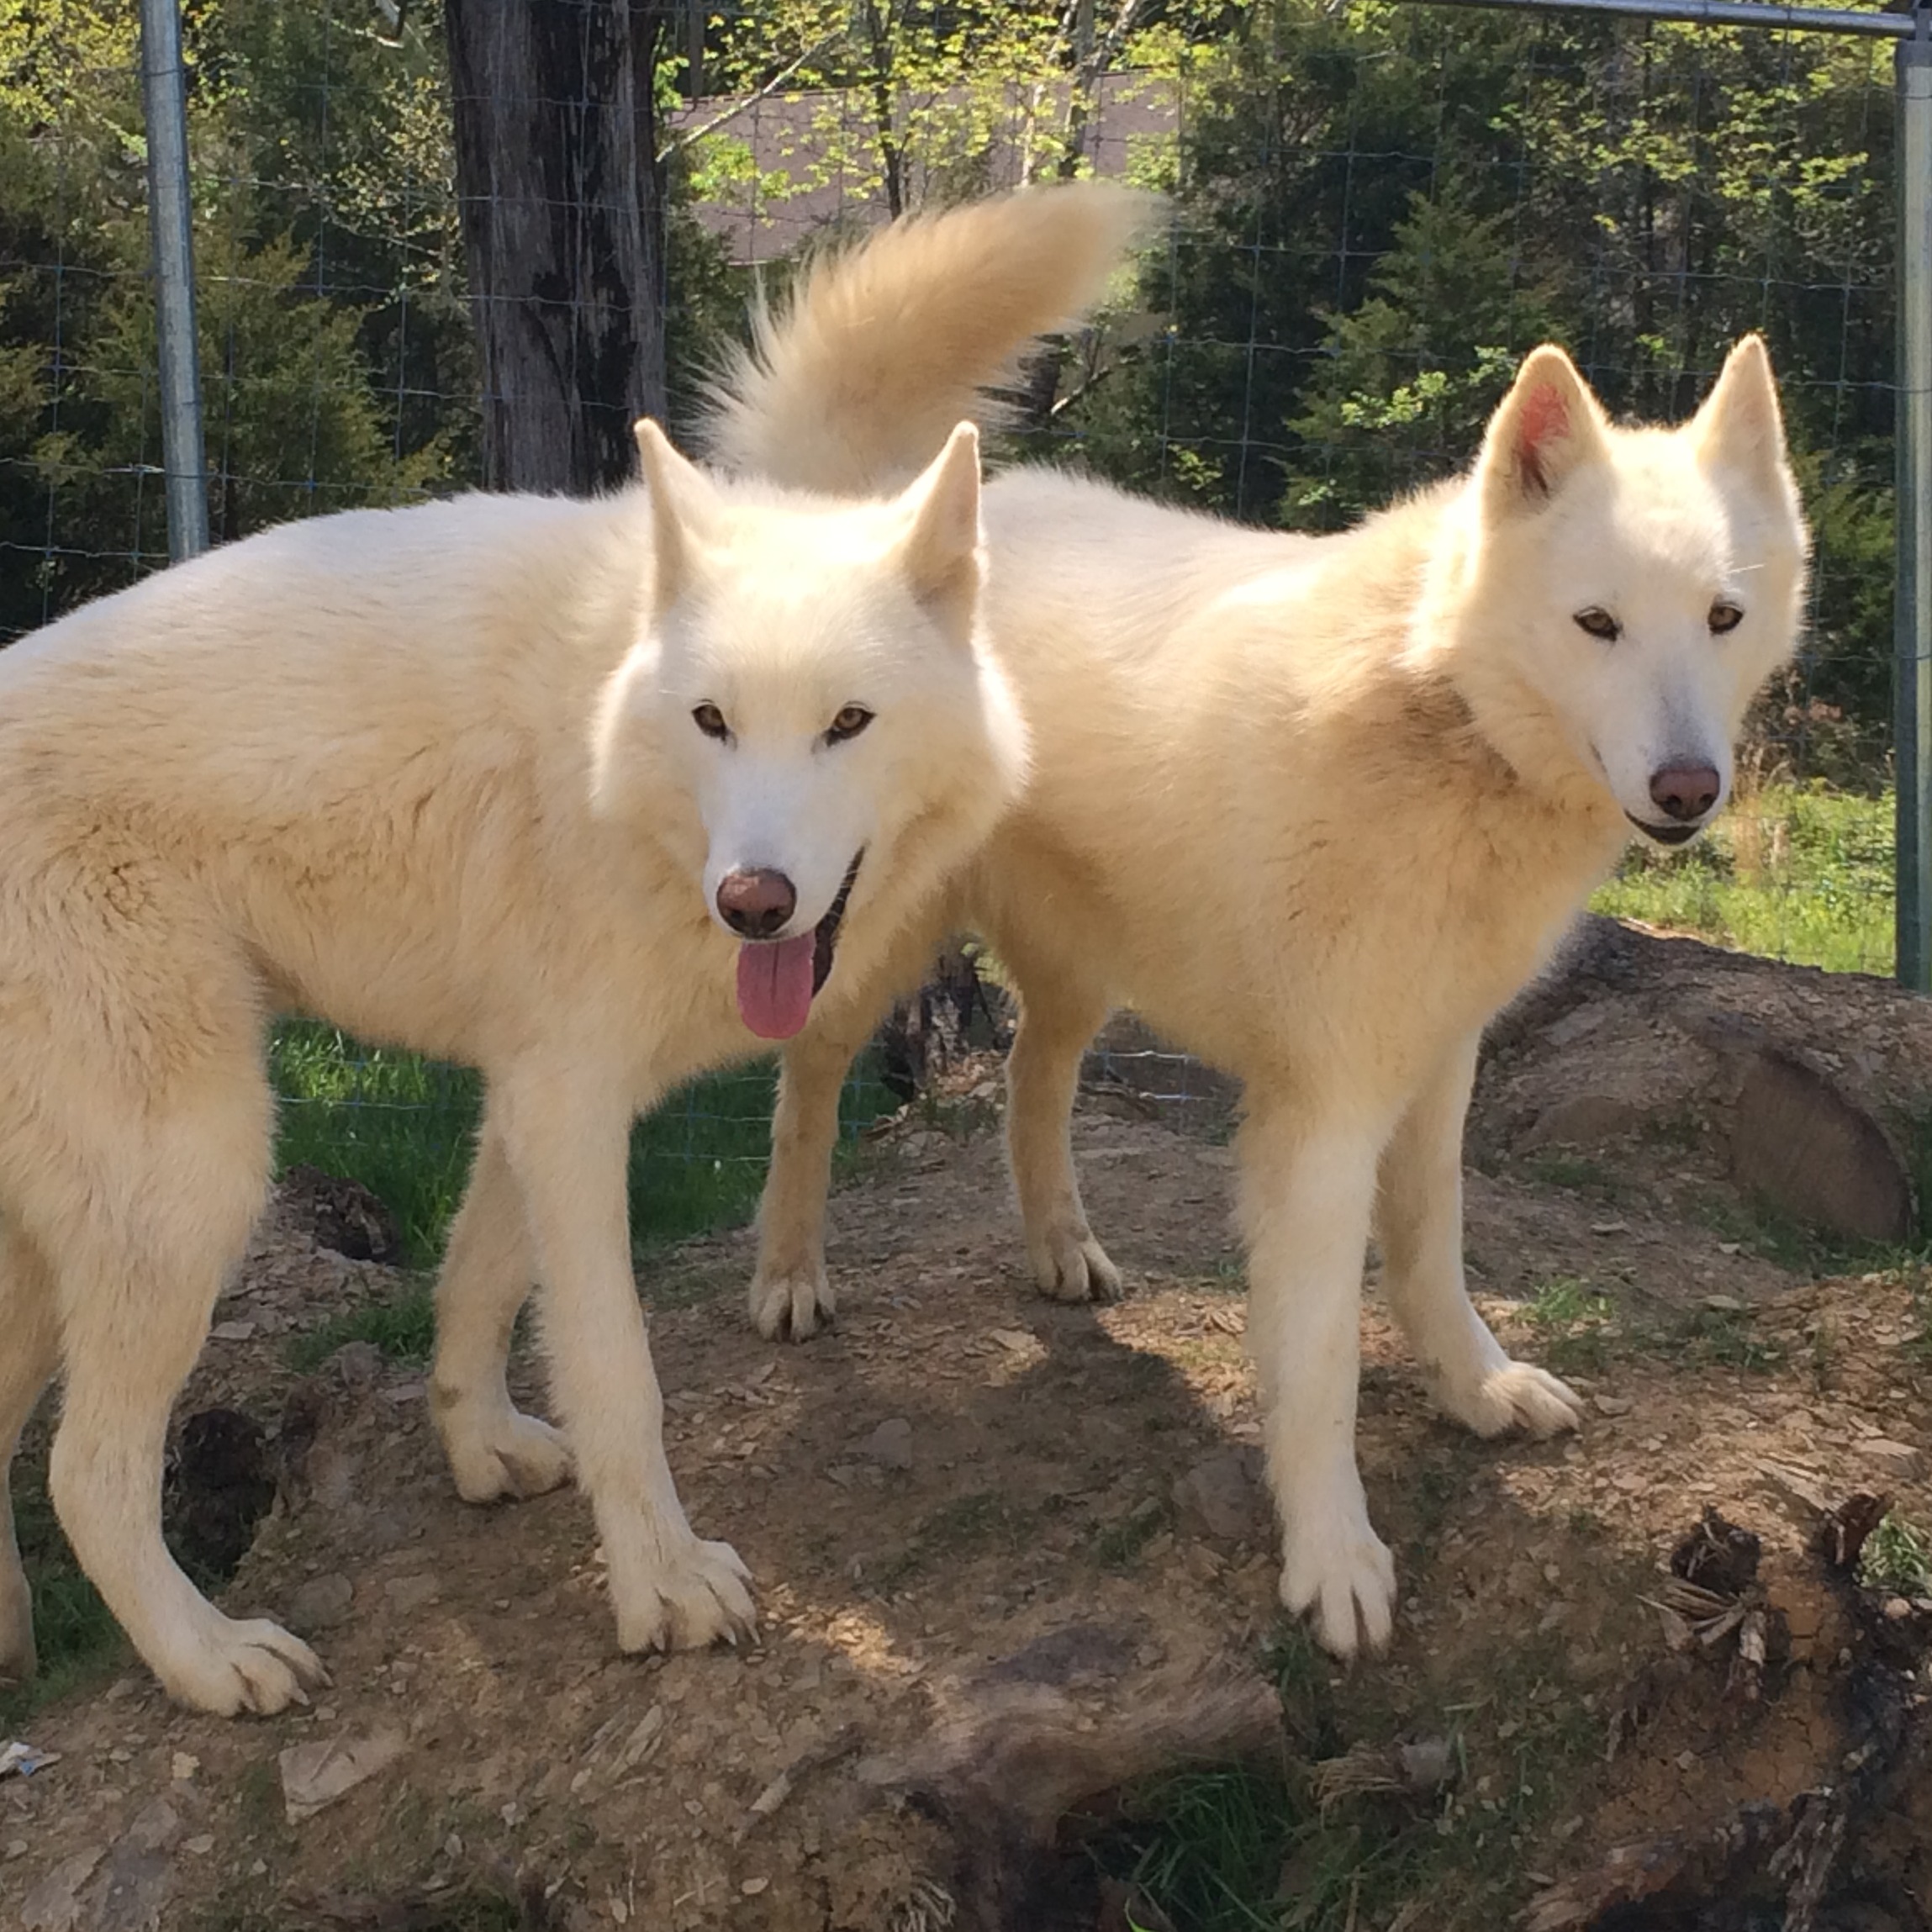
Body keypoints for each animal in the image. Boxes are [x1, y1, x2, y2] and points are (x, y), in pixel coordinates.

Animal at [0, 402, 1046, 1714]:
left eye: (846, 723)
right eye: (713, 720)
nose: (752, 902)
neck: (612, 752)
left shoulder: (533, 1085)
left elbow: (479, 1281)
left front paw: (479, 1446)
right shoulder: (572, 1098)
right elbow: (613, 1370)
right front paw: (665, 1589)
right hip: (197, 1183)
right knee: (86, 1472)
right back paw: (214, 1659)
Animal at [707, 186, 1811, 1656]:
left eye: (1721, 617)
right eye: (1597, 624)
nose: (1688, 790)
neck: (1437, 712)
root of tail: (881, 523)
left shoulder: (1436, 1068)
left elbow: (1433, 1254)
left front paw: (1475, 1389)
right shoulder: (1323, 1115)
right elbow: (1321, 1362)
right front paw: (1332, 1556)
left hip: (1083, 972)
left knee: (1029, 1080)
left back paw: (1061, 1250)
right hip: (865, 948)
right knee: (808, 1086)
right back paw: (788, 1276)